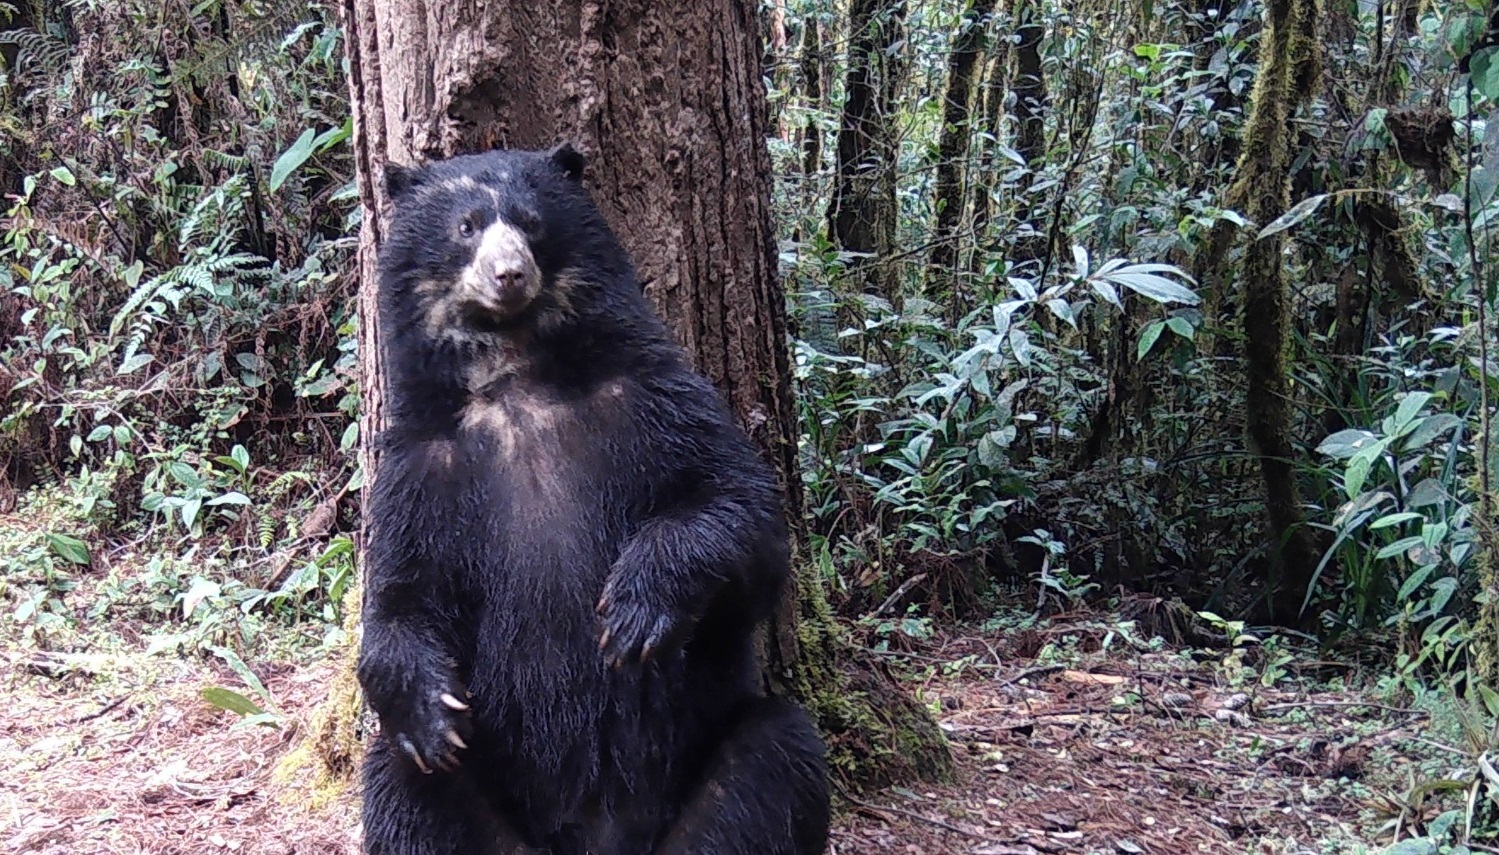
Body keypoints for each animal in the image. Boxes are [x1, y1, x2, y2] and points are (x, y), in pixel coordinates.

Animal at [358, 141, 839, 852]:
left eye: (531, 222)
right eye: (466, 226)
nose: (509, 274)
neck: (517, 374)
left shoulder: (652, 399)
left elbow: (743, 512)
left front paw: (634, 613)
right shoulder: (421, 465)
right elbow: (402, 595)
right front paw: (430, 714)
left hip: (713, 778)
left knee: (778, 751)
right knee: (400, 782)